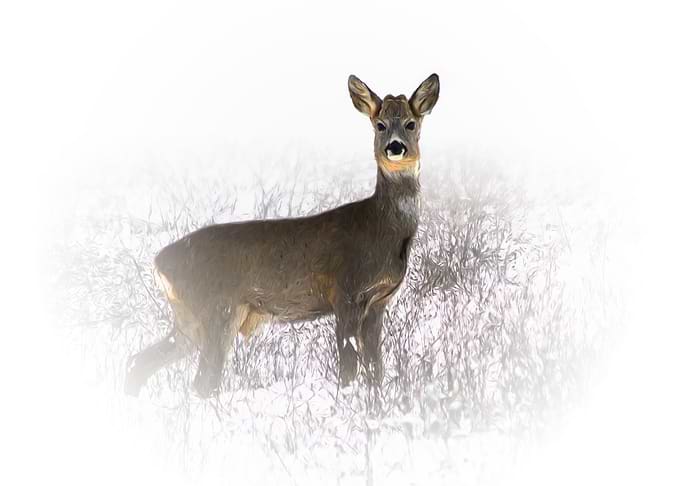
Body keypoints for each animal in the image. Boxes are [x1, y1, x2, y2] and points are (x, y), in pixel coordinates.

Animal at [124, 74, 440, 398]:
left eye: (411, 123)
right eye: (379, 124)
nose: (395, 147)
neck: (381, 228)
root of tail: (159, 261)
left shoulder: (379, 302)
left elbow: (376, 368)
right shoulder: (347, 292)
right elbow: (349, 368)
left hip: (190, 317)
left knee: (140, 360)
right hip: (216, 309)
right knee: (202, 381)